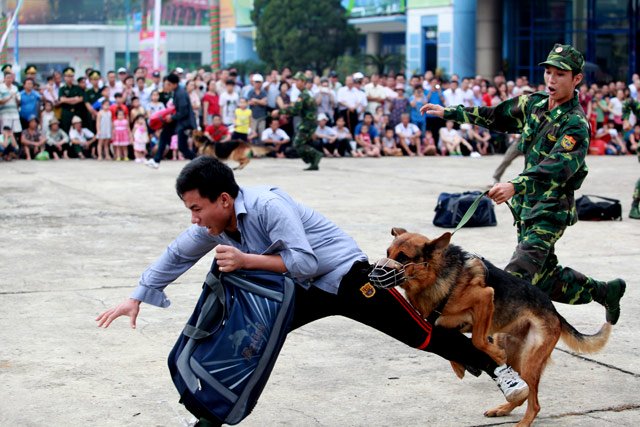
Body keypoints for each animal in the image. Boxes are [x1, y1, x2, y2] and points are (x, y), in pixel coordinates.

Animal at [372, 229, 612, 427]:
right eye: (388, 252)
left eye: (403, 257)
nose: (373, 276)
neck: (436, 275)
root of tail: (554, 312)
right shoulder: (441, 324)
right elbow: (454, 342)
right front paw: (461, 366)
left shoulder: (485, 297)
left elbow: (477, 339)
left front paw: (490, 355)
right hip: (511, 347)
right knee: (523, 393)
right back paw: (503, 408)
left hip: (530, 360)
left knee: (534, 403)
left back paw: (523, 422)